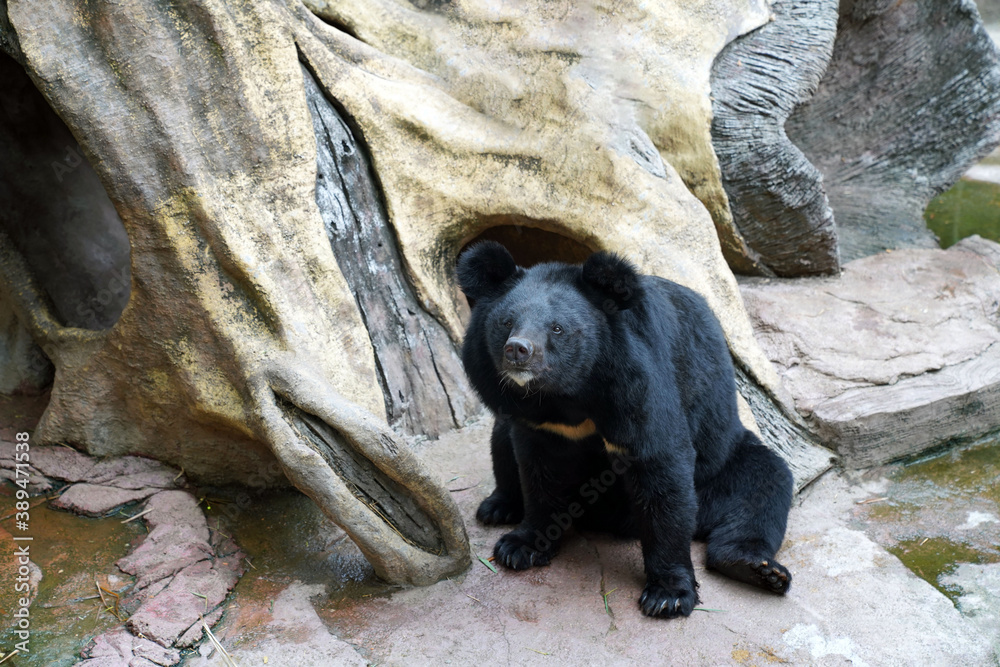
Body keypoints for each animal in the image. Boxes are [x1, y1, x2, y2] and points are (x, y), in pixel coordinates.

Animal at [456, 240, 794, 619]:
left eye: (557, 328)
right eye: (506, 321)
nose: (518, 350)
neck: (564, 395)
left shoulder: (639, 380)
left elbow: (660, 468)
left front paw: (668, 596)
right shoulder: (534, 421)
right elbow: (537, 472)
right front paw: (520, 547)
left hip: (722, 462)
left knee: (764, 485)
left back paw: (758, 569)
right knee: (501, 443)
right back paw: (497, 507)